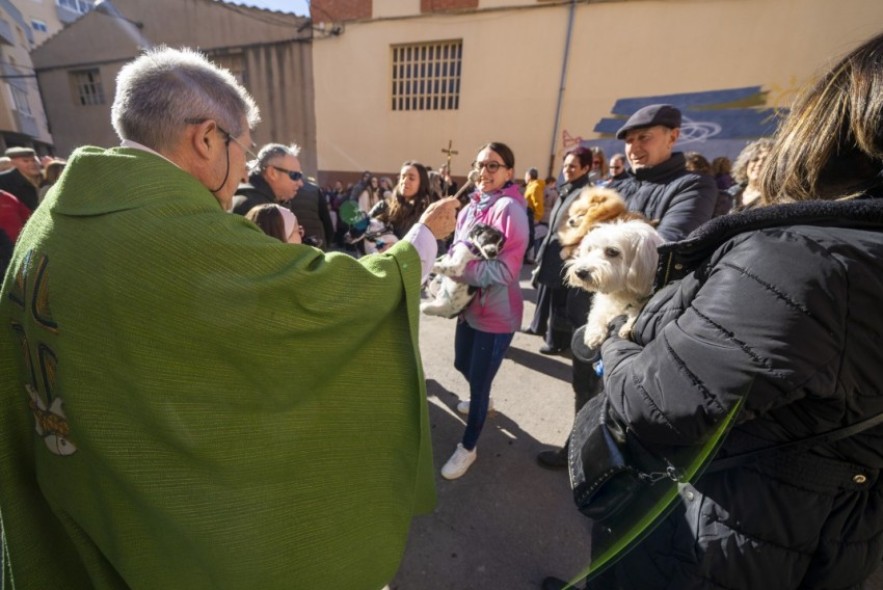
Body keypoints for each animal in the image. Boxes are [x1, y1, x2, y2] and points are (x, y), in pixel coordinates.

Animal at [568, 221, 664, 352]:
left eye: (612, 251)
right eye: (589, 249)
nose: (580, 272)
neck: (624, 292)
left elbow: (637, 311)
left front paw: (628, 326)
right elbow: (598, 312)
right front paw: (594, 333)